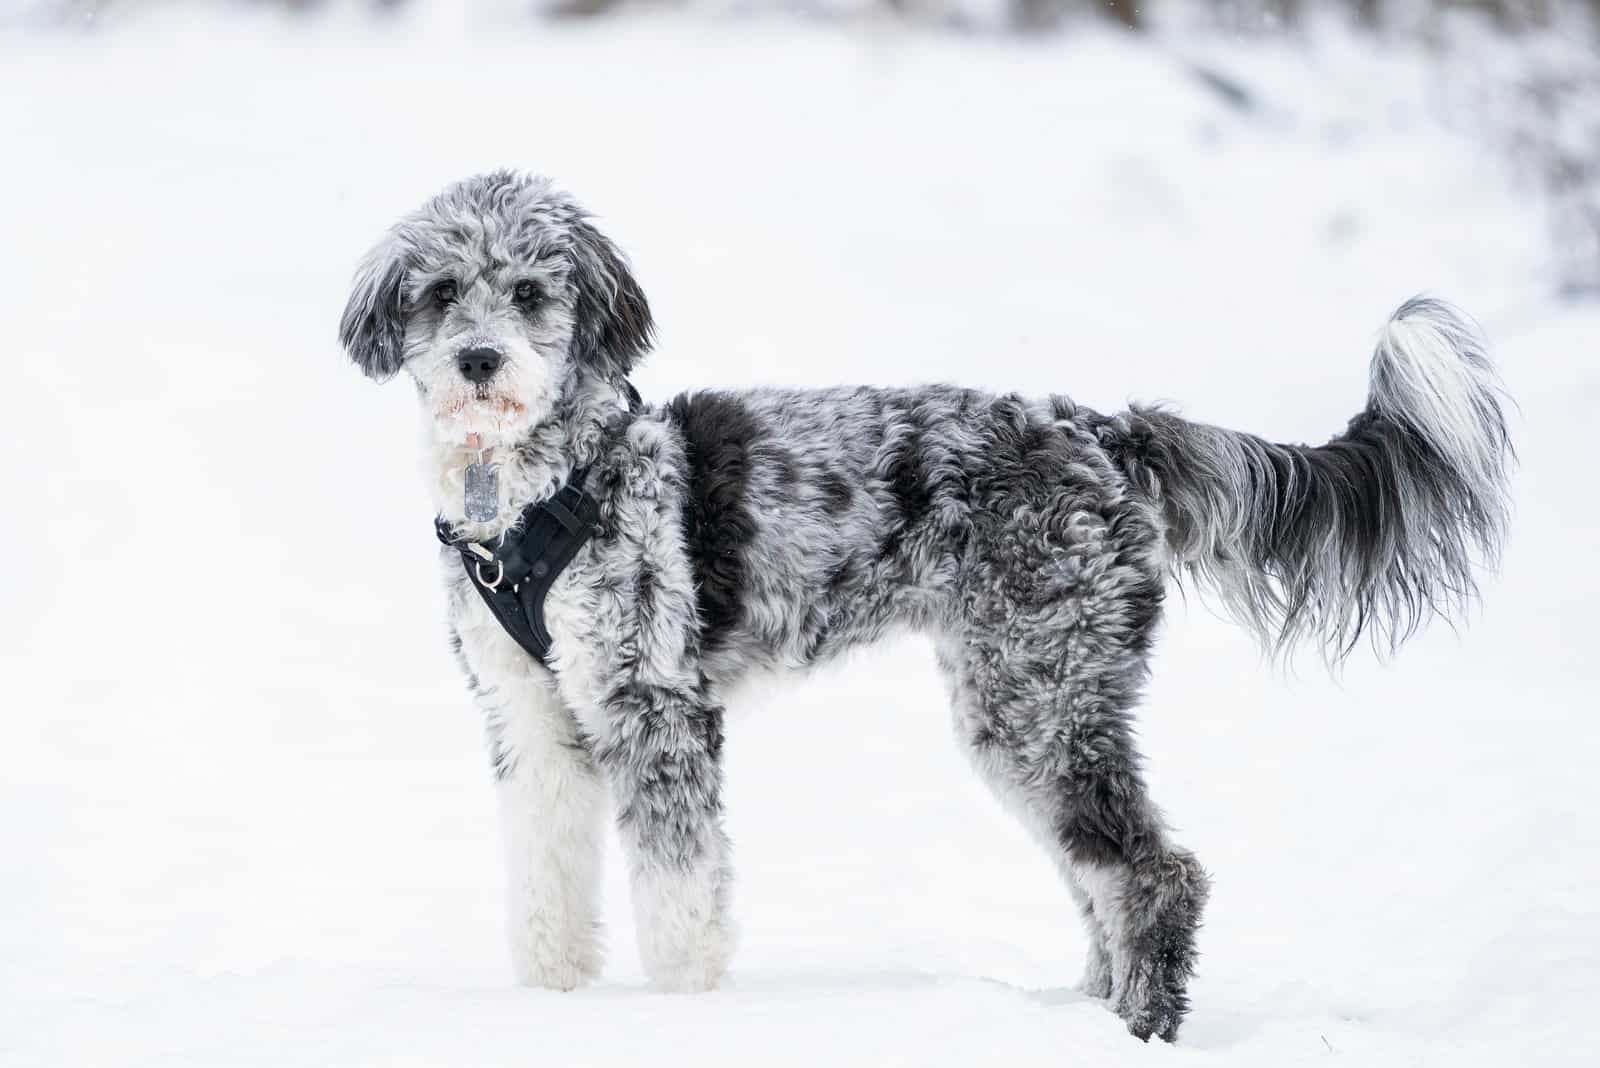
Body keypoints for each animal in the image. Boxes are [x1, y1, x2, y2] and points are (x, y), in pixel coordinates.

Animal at [337, 168, 1510, 1042]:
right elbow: (545, 876)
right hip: (1033, 697)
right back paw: (1079, 1018)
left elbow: (680, 896)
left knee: (1153, 873)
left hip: (1038, 697)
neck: (545, 488)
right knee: (1102, 877)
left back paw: (1139, 1027)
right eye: (440, 292)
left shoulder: (655, 708)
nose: (478, 358)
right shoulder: (534, 718)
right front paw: (553, 1000)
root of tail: (1100, 432)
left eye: (532, 292)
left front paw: (683, 1017)